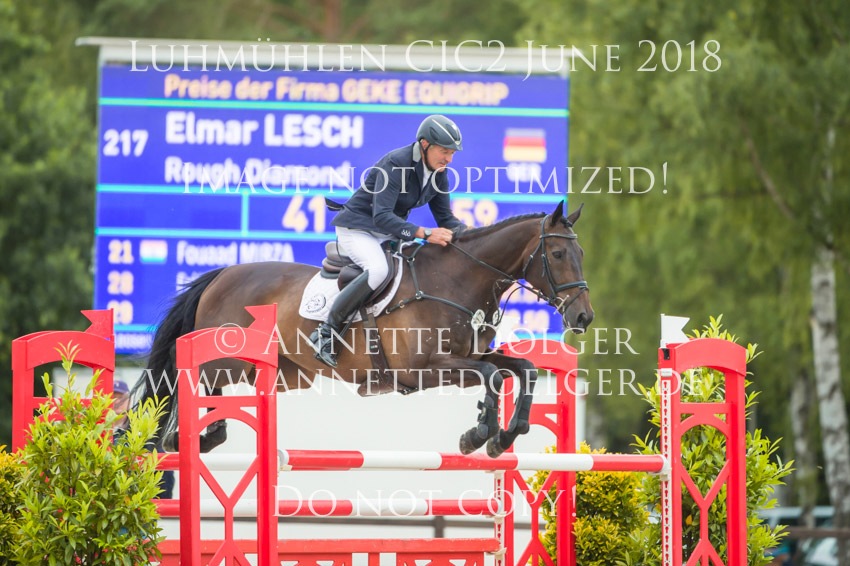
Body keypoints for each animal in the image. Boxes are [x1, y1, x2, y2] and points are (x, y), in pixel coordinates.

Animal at [131, 201, 593, 458]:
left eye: (580, 253)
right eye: (557, 254)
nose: (584, 318)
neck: (456, 281)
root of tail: (223, 274)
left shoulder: (465, 358)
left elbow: (520, 369)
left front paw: (503, 435)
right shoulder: (419, 370)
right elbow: (494, 375)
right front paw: (478, 435)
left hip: (276, 373)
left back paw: (200, 438)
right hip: (225, 359)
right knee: (191, 381)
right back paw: (181, 439)